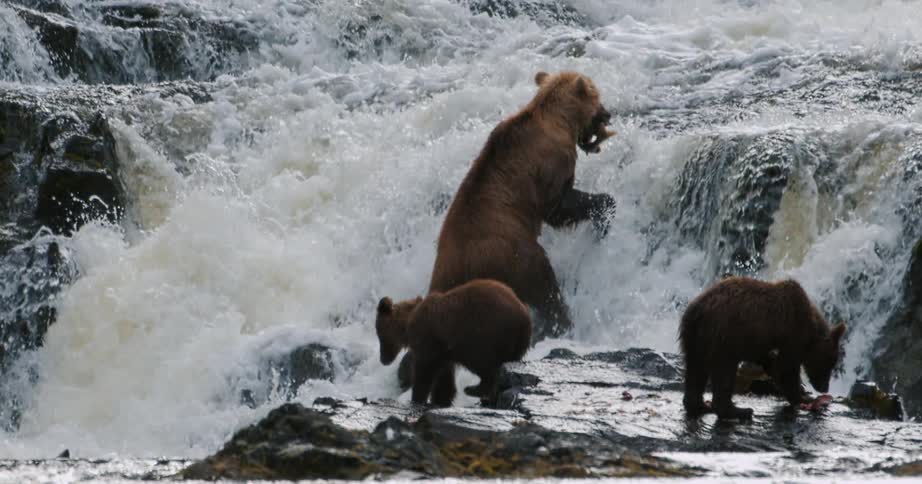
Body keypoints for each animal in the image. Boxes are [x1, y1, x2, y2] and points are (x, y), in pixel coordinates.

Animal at [376, 279, 532, 407]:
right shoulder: (445, 352)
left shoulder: (430, 340)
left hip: (484, 332)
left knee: (484, 363)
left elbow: (424, 371)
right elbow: (444, 379)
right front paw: (440, 400)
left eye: (380, 335)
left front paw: (417, 398)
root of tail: (524, 317)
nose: (383, 360)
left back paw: (473, 389)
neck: (407, 323)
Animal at [679, 276, 846, 420]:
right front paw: (802, 397)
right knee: (724, 371)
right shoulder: (792, 332)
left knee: (695, 369)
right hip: (722, 334)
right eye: (829, 363)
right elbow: (786, 368)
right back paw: (738, 411)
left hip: (695, 337)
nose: (824, 387)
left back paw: (700, 406)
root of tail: (698, 310)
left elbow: (767, 359)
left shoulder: (759, 338)